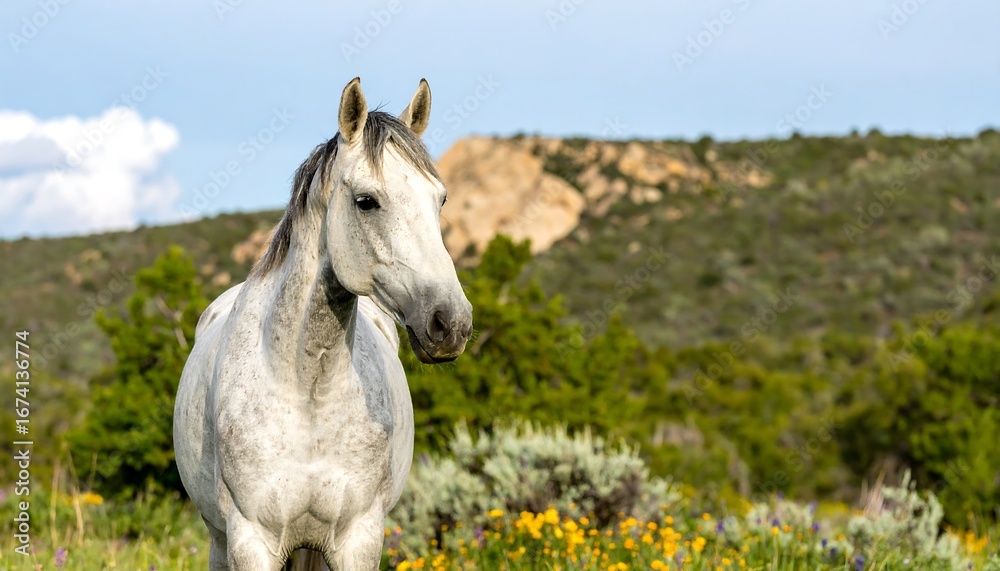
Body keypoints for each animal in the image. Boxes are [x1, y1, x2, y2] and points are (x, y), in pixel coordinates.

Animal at [173, 77, 473, 570]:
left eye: (441, 199)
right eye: (366, 202)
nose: (451, 323)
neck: (306, 387)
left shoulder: (359, 538)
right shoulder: (250, 539)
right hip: (219, 539)